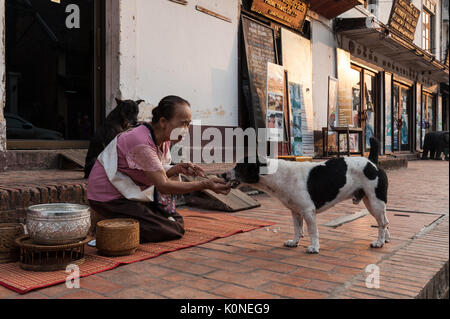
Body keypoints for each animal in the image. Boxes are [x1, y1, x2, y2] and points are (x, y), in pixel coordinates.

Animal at [227, 138, 388, 255]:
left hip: (375, 203)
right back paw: (386, 239)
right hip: (371, 203)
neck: (278, 175)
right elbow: (297, 230)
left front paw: (314, 247)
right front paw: (294, 242)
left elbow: (312, 231)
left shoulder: (308, 212)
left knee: (382, 223)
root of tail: (372, 163)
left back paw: (379, 242)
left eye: (239, 167)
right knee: (384, 222)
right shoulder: (296, 212)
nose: (223, 174)